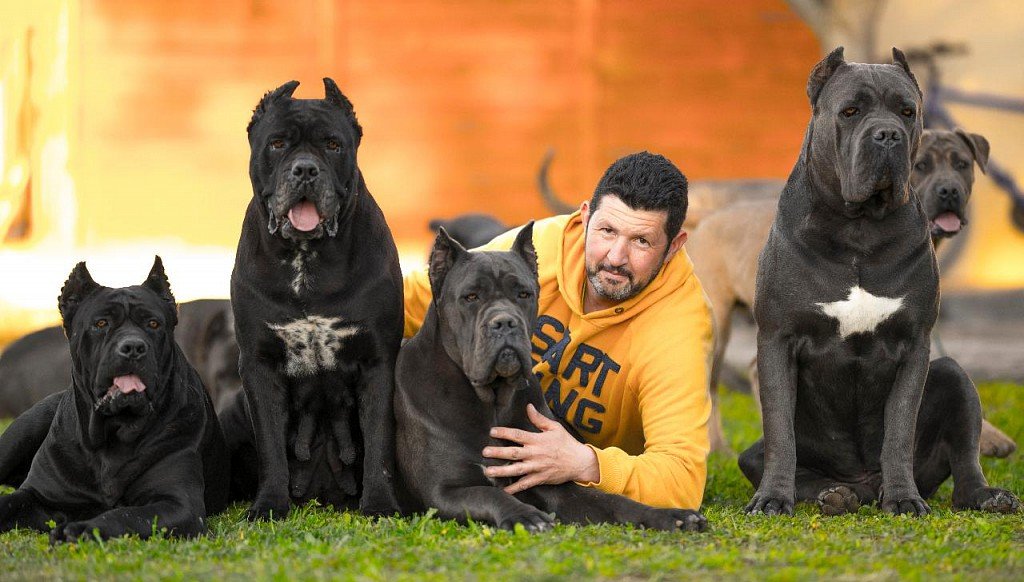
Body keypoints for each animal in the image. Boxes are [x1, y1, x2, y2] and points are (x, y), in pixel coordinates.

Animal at [224, 77, 403, 518]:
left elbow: (378, 442)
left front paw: (380, 504)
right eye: (277, 143)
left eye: (333, 145)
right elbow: (271, 446)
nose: (305, 169)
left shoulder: (377, 360)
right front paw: (268, 506)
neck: (308, 260)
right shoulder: (259, 363)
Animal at [741, 47, 1019, 516]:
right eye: (851, 111)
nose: (887, 135)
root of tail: (864, 485)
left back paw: (987, 496)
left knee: (965, 463)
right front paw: (773, 499)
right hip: (754, 453)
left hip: (954, 376)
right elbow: (781, 433)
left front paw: (905, 498)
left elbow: (899, 429)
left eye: (907, 112)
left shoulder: (914, 344)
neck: (858, 228)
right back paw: (833, 493)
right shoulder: (777, 338)